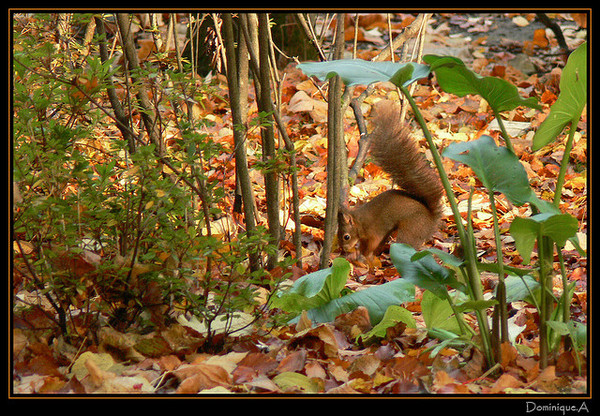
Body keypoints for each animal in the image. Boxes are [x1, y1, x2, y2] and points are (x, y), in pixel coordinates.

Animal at [338, 100, 446, 264]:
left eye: (346, 236)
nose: (343, 250)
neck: (360, 221)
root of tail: (432, 218)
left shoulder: (373, 231)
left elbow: (371, 245)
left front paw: (363, 256)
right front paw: (357, 255)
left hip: (410, 229)